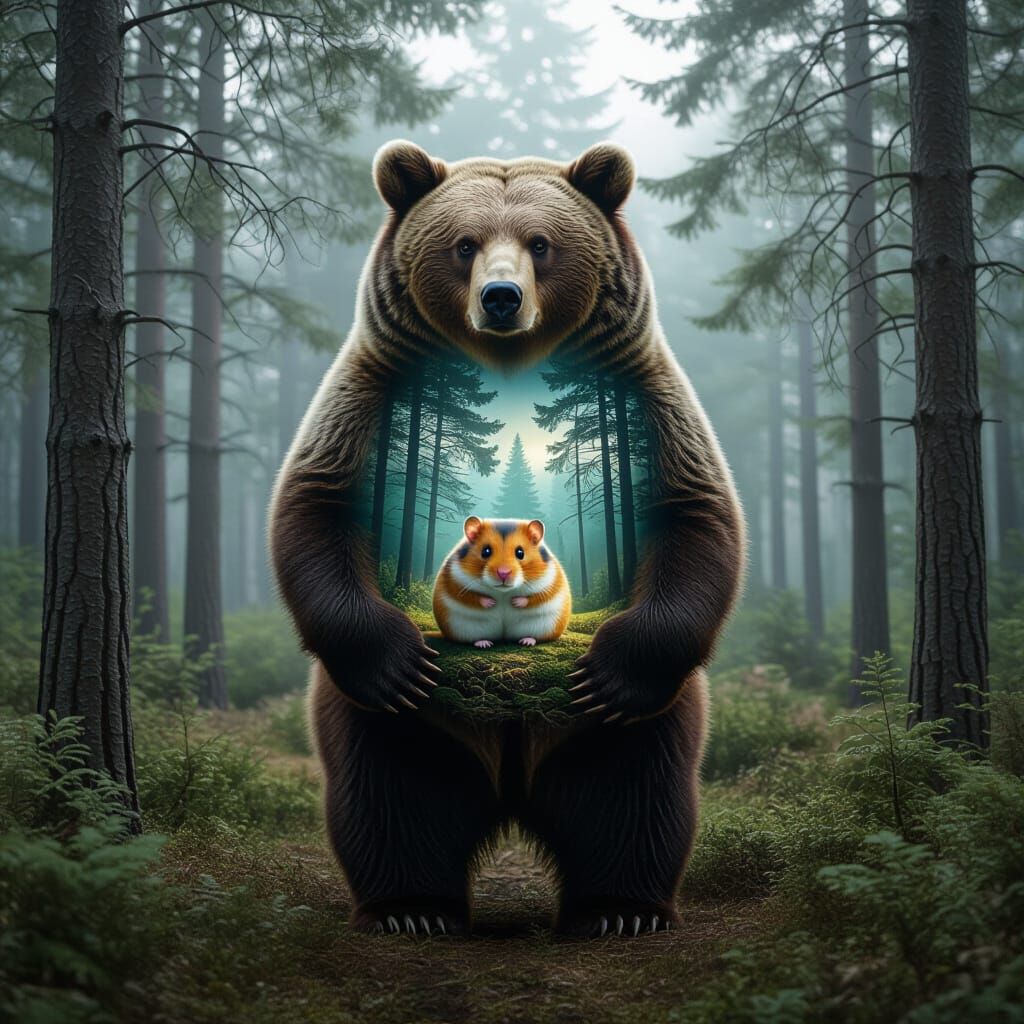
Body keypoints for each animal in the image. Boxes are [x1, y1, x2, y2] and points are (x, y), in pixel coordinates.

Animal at [433, 516, 572, 649]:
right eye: (486, 551)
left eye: (520, 553)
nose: (503, 573)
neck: (503, 592)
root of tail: (503, 637)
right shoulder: (453, 582)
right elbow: (469, 596)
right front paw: (492, 602)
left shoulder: (551, 583)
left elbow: (535, 597)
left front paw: (515, 602)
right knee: (474, 639)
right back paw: (484, 644)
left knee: (534, 637)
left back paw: (527, 641)